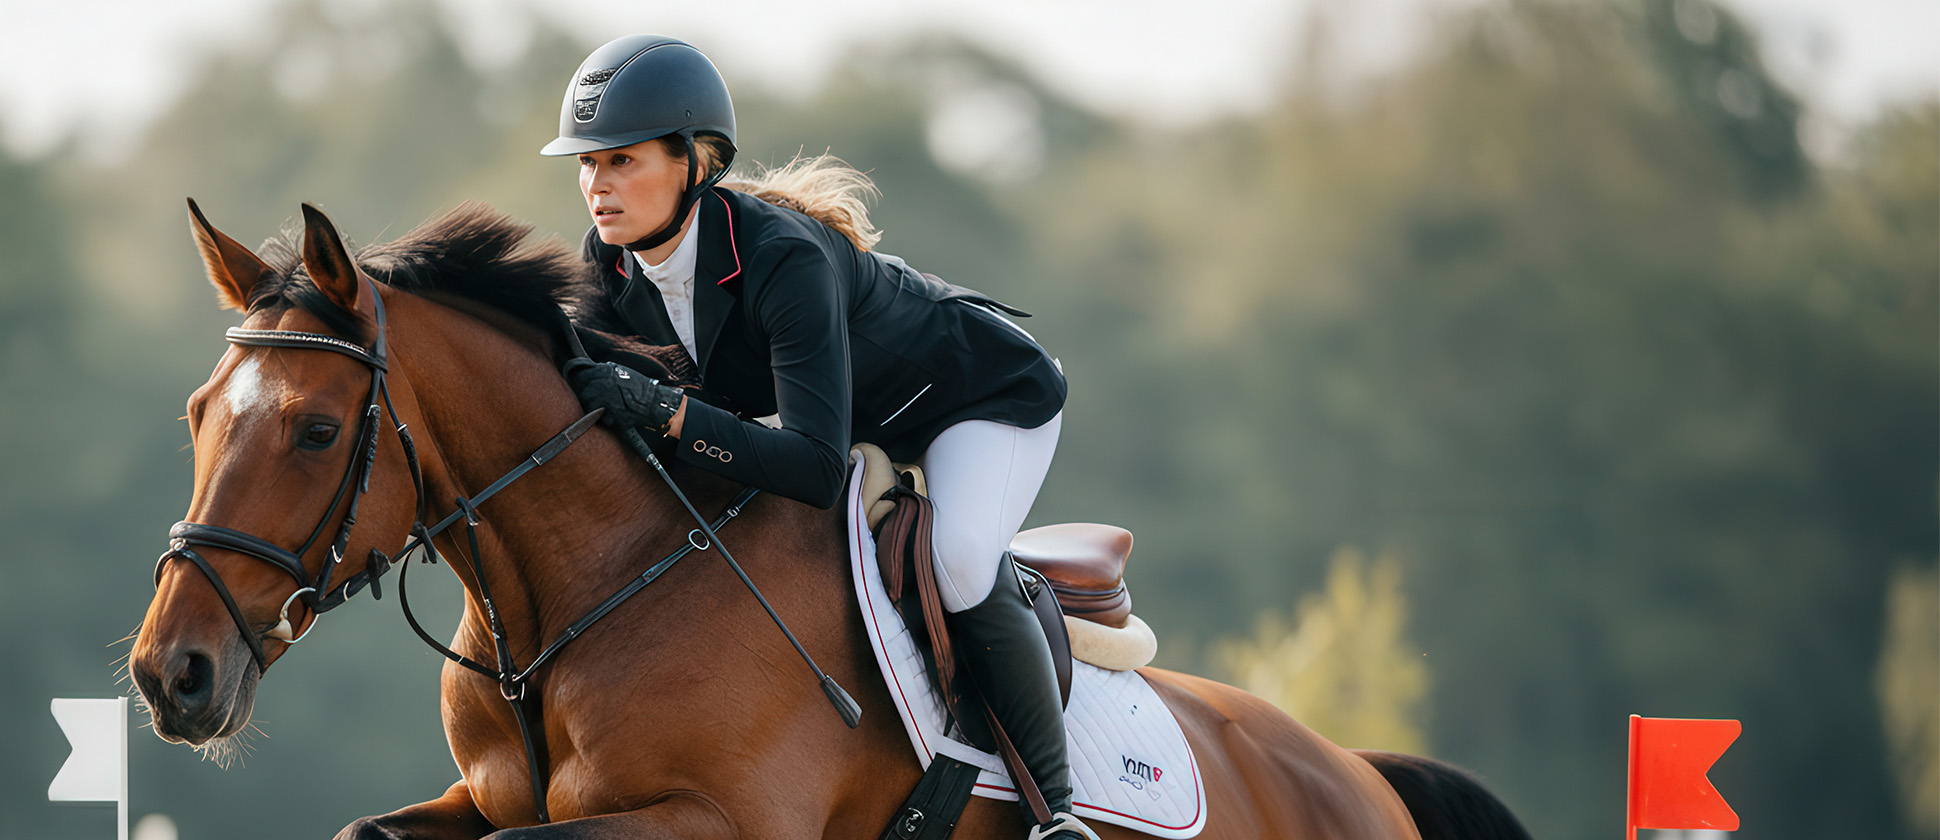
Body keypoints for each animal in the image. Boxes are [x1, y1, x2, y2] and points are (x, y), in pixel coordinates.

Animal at [128, 200, 1529, 839]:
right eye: (195, 414)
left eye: (316, 431)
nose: (168, 674)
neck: (592, 585)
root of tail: (1347, 766)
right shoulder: (487, 802)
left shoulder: (710, 823)